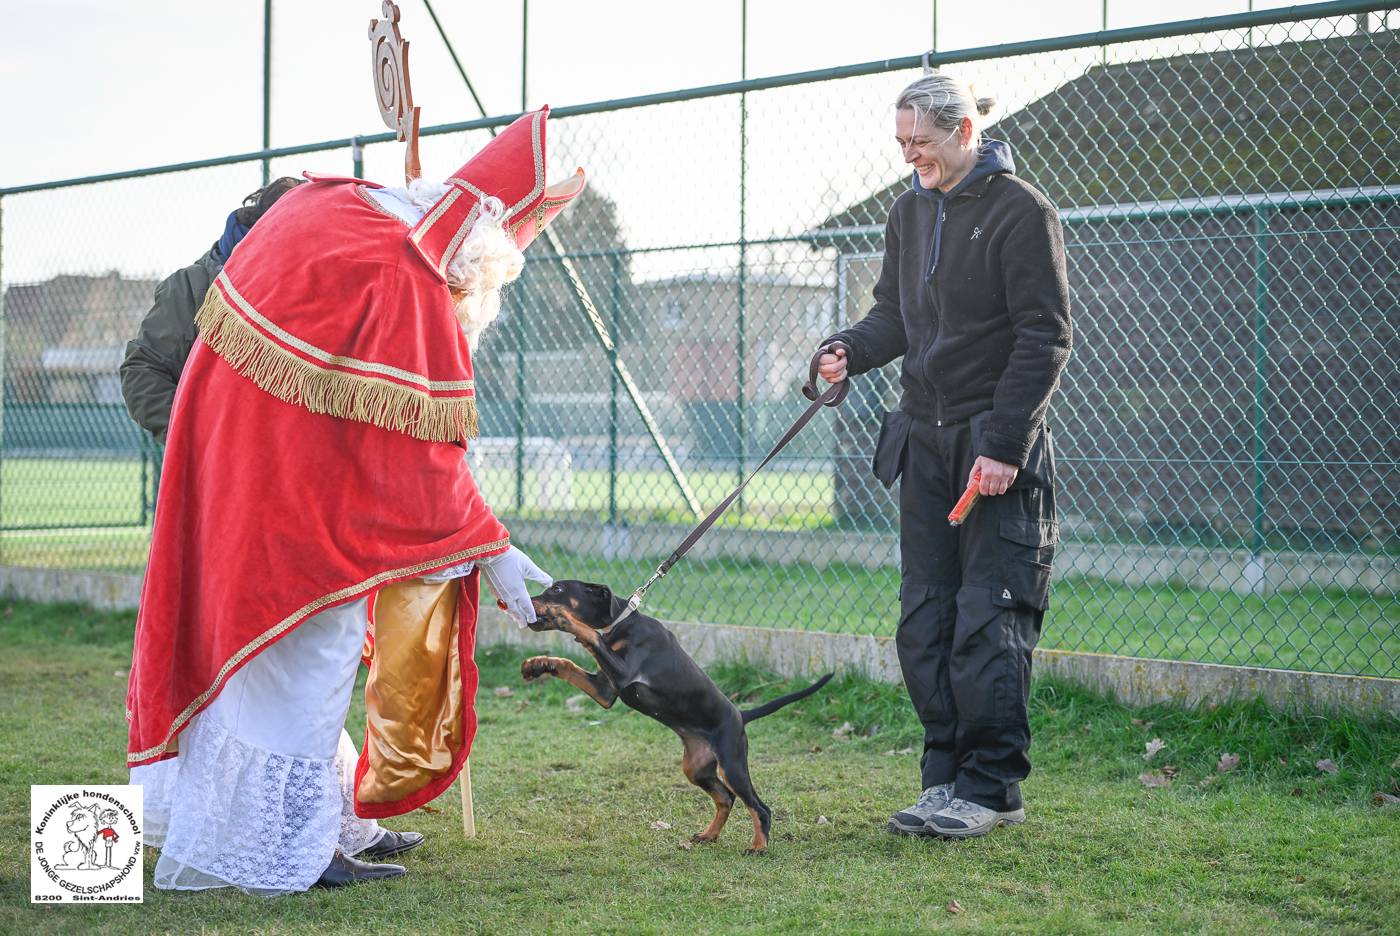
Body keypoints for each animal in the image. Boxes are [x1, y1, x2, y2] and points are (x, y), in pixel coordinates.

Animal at [523, 584, 828, 856]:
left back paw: (758, 846)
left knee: (760, 807)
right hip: (696, 767)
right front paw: (538, 664)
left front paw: (563, 619)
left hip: (732, 764)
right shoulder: (605, 691)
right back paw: (709, 835)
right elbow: (568, 665)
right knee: (726, 798)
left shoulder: (622, 672)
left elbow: (590, 634)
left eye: (558, 590)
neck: (622, 623)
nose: (530, 601)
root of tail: (741, 716)